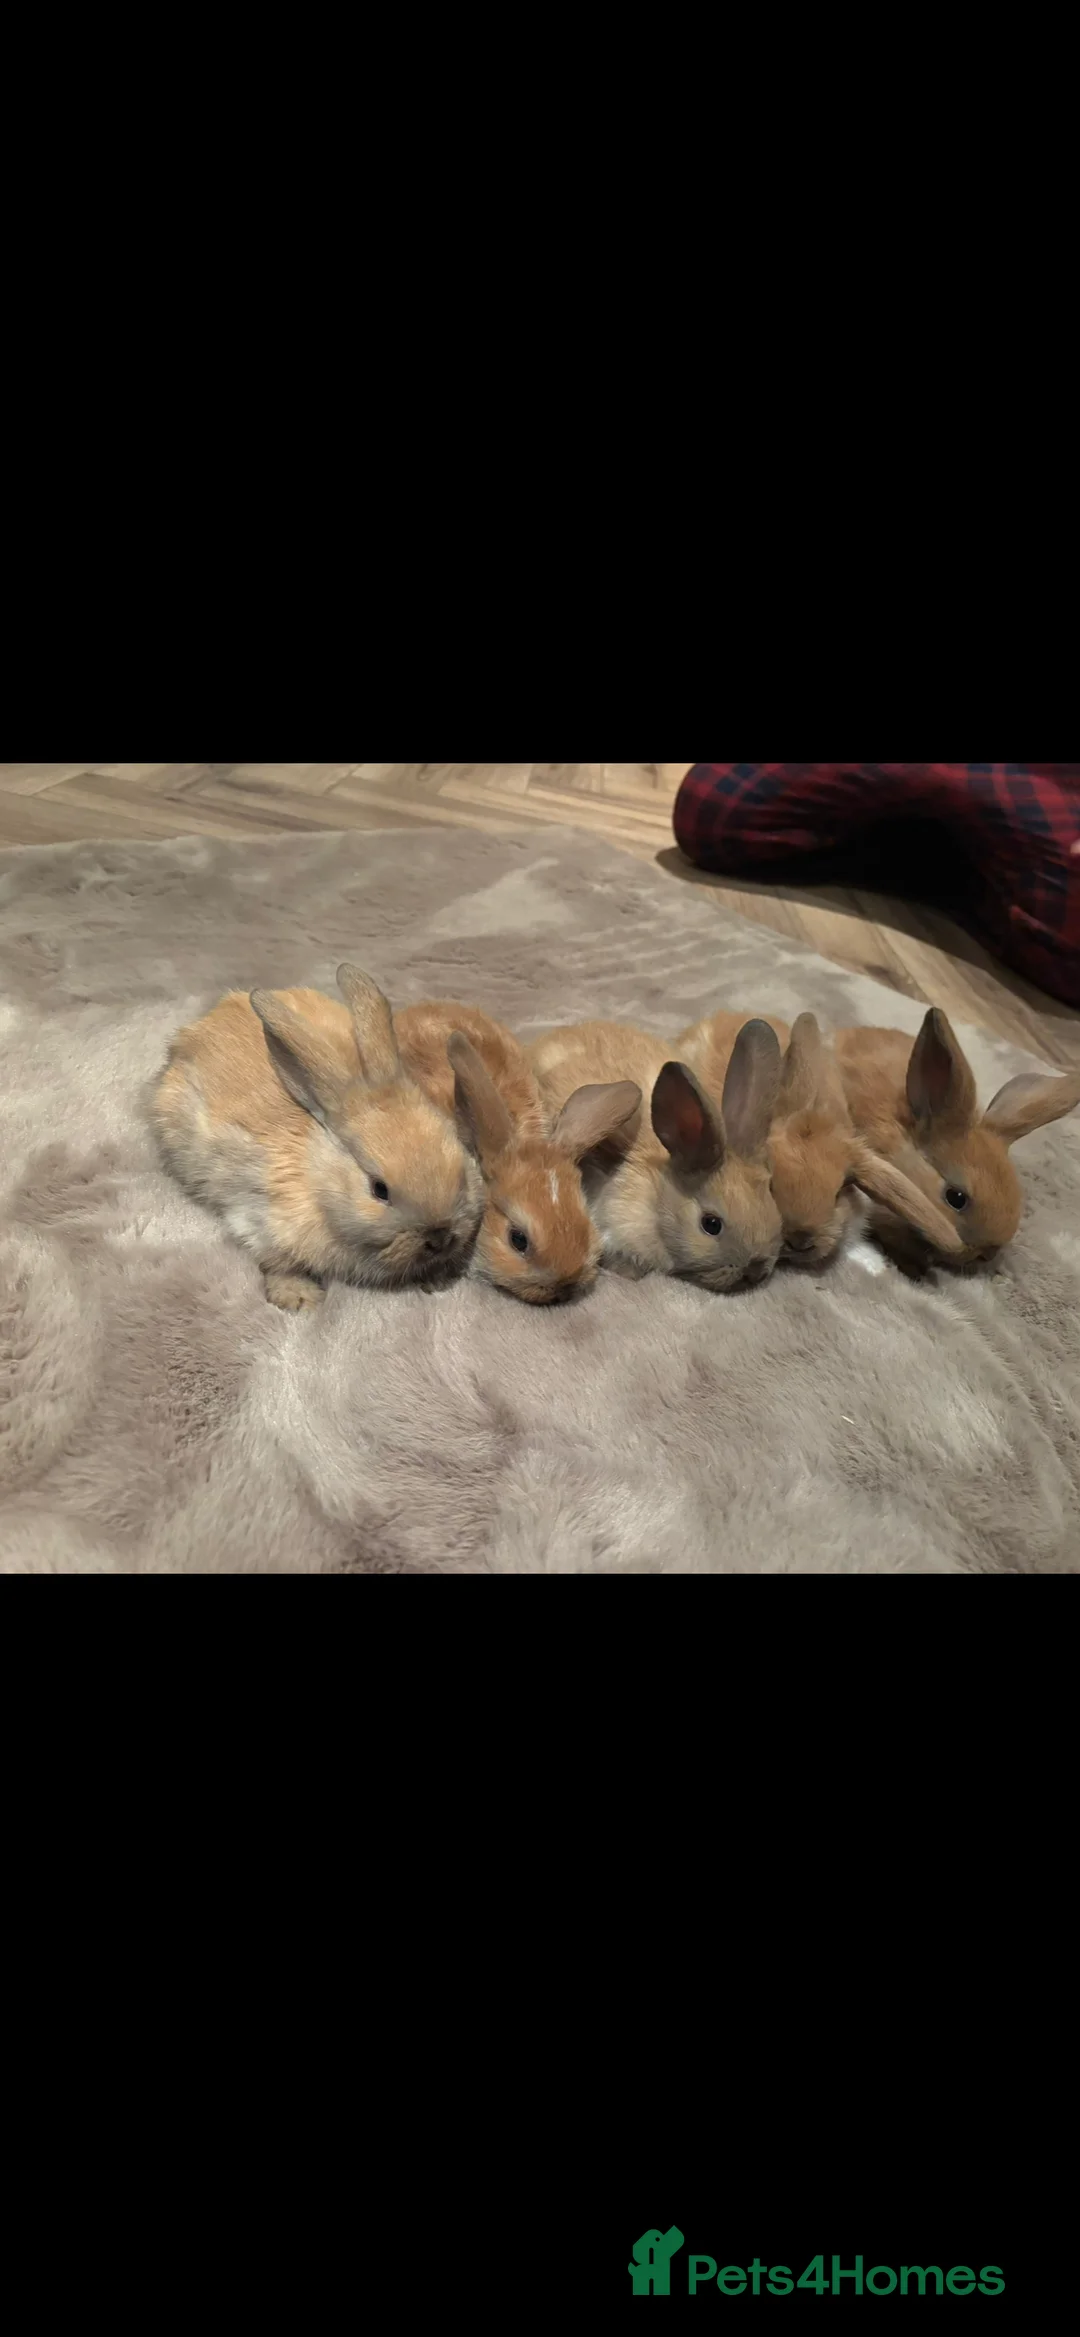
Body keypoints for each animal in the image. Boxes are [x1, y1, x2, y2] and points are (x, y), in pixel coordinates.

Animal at [152, 963, 484, 1308]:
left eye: (462, 1172)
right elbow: (279, 1264)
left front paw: (439, 1278)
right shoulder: (260, 1222)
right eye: (379, 1189)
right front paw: (299, 1299)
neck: (318, 1179)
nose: (440, 1238)